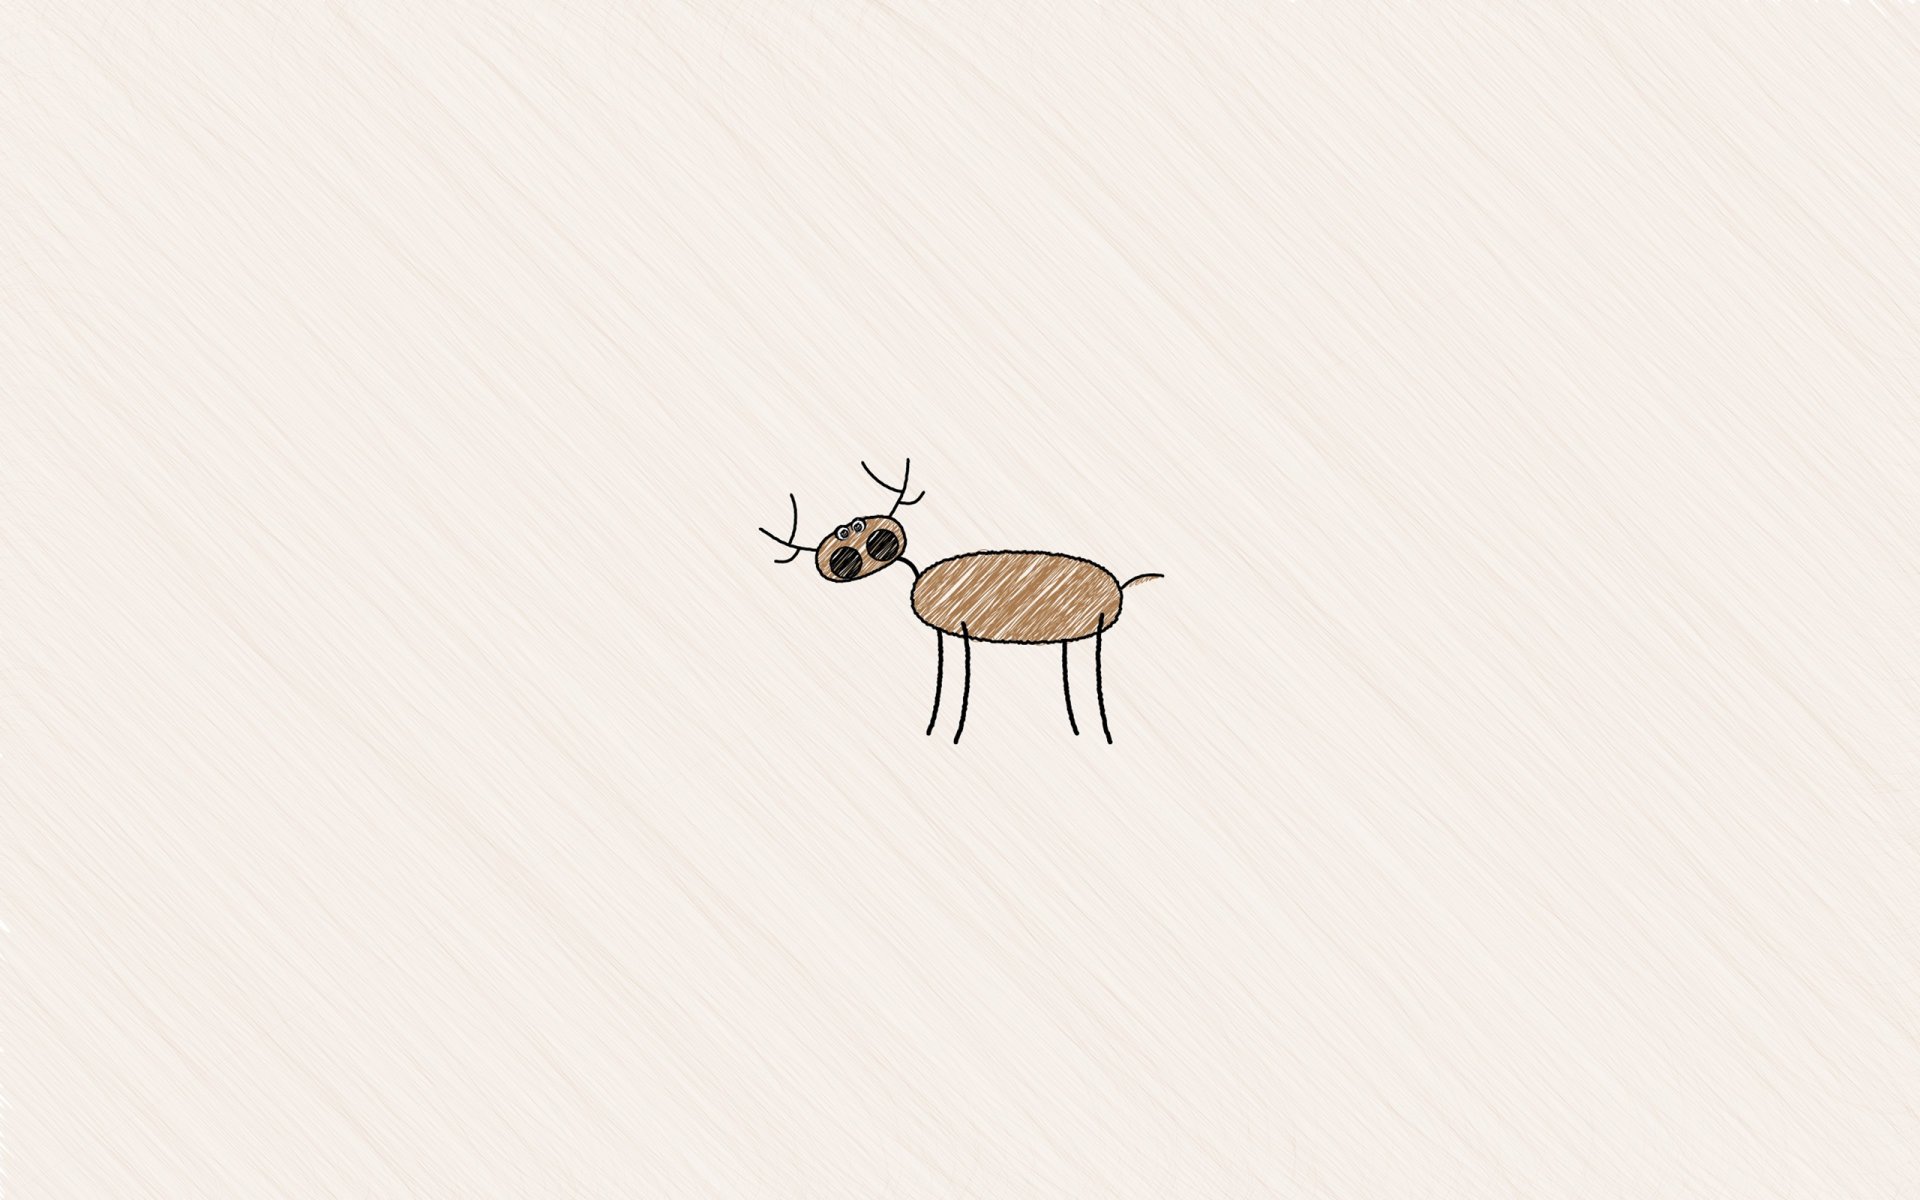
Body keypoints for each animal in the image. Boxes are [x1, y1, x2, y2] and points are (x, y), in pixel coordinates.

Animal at [758, 459, 1162, 743]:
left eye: (875, 539)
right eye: (843, 556)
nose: (851, 532)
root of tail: (1119, 588)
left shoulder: (960, 631)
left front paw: (949, 731)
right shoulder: (948, 633)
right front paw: (940, 728)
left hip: (1093, 631)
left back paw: (1100, 731)